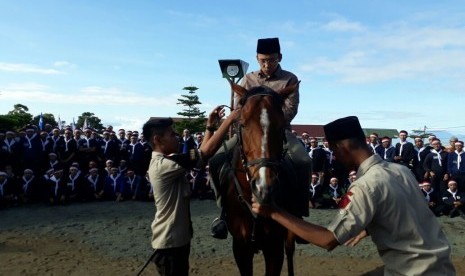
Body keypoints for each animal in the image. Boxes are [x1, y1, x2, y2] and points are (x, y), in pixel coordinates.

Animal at [220, 82, 298, 276]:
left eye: (282, 125)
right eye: (242, 124)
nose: (264, 187)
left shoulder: (274, 249)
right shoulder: (240, 248)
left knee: (290, 251)